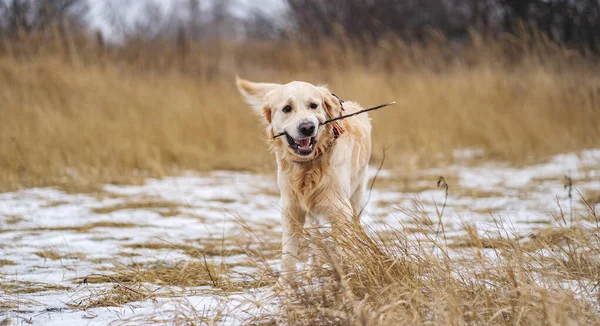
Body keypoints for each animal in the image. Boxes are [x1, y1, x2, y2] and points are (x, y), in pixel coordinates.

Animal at [236, 76, 370, 282]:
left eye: (313, 105)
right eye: (287, 108)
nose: (307, 127)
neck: (309, 165)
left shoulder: (340, 208)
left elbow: (344, 245)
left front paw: (349, 274)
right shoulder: (291, 208)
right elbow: (288, 256)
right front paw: (286, 287)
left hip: (356, 197)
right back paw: (312, 269)